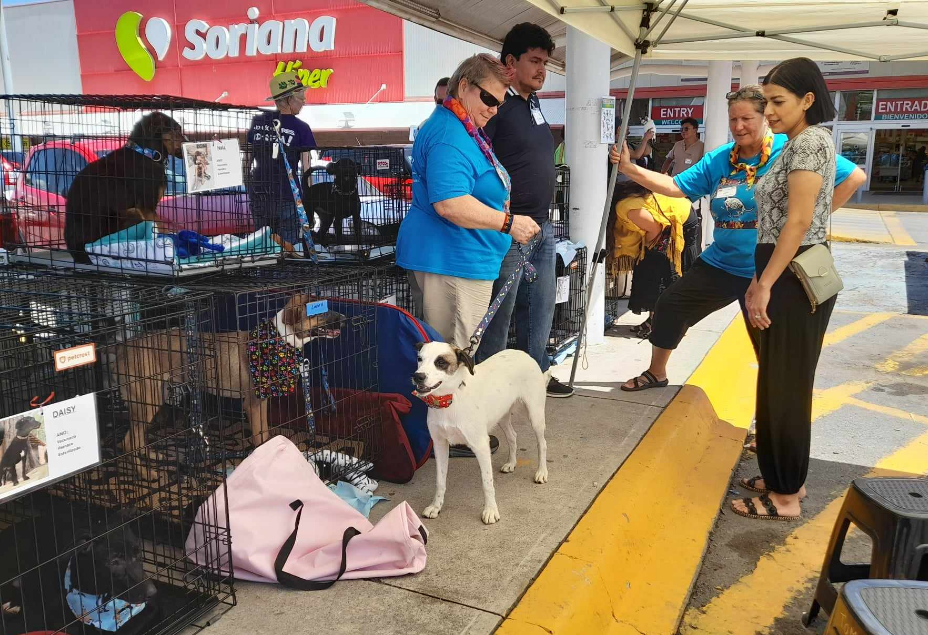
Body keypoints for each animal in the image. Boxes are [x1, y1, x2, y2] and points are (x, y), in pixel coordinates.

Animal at [65, 112, 187, 264]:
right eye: (176, 129)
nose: (189, 142)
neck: (147, 153)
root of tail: (76, 249)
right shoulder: (145, 207)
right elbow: (161, 225)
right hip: (130, 215)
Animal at [114, 294, 346, 482]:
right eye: (321, 310)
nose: (345, 319)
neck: (278, 340)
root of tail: (123, 348)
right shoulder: (251, 404)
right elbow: (259, 437)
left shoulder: (261, 401)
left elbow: (265, 432)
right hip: (147, 400)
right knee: (127, 443)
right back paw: (146, 474)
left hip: (154, 397)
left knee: (135, 438)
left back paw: (152, 456)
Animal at [410, 342, 548, 528]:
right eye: (420, 358)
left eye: (441, 362)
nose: (417, 376)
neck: (449, 399)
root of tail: (522, 352)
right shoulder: (440, 445)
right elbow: (440, 480)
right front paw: (435, 507)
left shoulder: (481, 446)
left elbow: (487, 482)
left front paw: (490, 511)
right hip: (502, 415)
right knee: (513, 436)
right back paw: (511, 463)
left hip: (535, 415)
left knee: (542, 443)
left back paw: (541, 472)